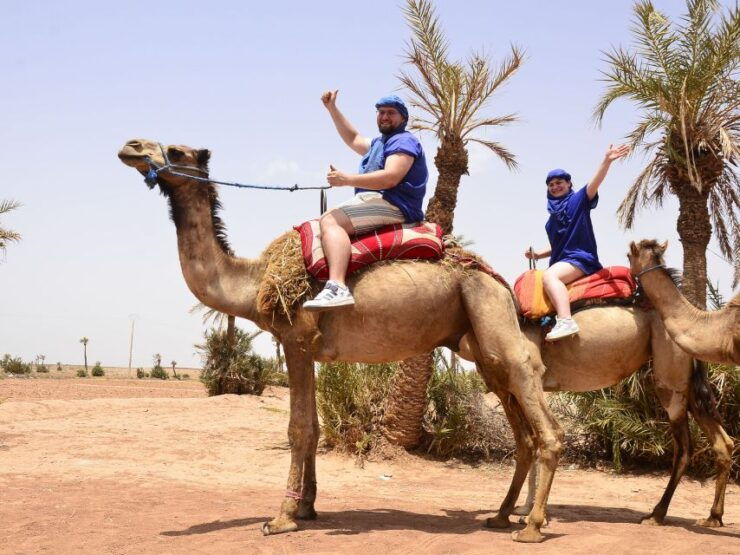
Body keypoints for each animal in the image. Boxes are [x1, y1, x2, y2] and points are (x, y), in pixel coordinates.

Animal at [118, 138, 562, 543]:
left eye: (176, 150)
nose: (130, 146)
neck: (254, 280)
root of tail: (495, 277)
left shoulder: (295, 338)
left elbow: (298, 428)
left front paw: (281, 518)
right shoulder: (309, 348)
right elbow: (314, 428)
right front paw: (307, 506)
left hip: (487, 309)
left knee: (534, 395)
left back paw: (532, 525)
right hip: (478, 343)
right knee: (520, 428)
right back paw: (501, 516)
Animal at [458, 277, 733, 528]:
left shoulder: (525, 378)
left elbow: (536, 441)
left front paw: (530, 515)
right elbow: (533, 442)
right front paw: (523, 511)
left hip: (670, 374)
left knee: (683, 446)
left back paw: (658, 515)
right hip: (688, 379)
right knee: (722, 442)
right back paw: (711, 517)